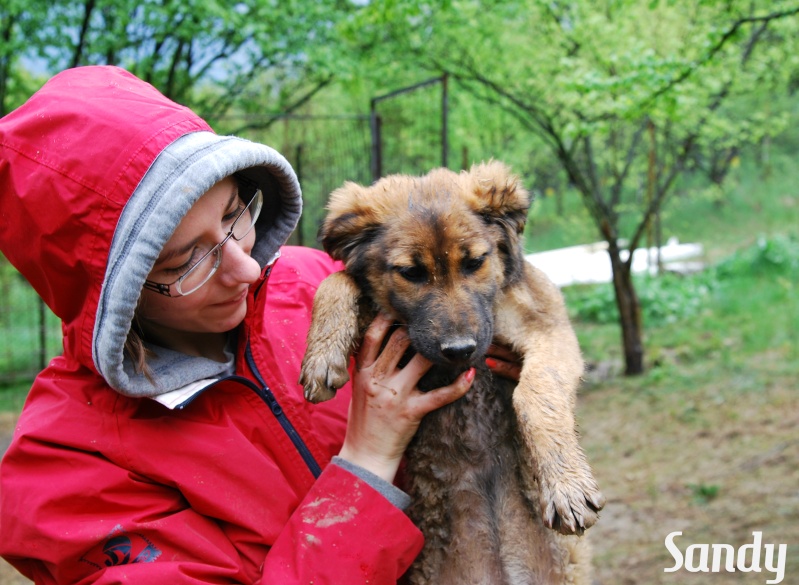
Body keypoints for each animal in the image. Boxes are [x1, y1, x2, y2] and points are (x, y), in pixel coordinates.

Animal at [304, 161, 604, 584]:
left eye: (475, 263)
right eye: (411, 272)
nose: (460, 351)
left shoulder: (549, 329)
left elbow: (534, 392)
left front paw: (565, 485)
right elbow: (338, 278)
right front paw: (322, 351)